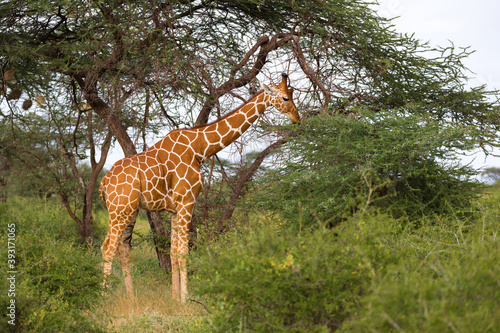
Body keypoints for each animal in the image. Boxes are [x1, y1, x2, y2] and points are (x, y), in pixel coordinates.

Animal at [99, 72, 298, 300]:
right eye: (285, 98)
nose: (297, 119)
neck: (199, 149)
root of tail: (103, 183)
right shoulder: (187, 201)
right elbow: (184, 252)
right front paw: (186, 298)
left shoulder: (175, 208)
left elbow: (174, 252)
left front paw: (175, 297)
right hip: (119, 211)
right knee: (107, 249)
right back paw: (104, 298)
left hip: (128, 212)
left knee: (122, 250)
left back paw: (132, 298)